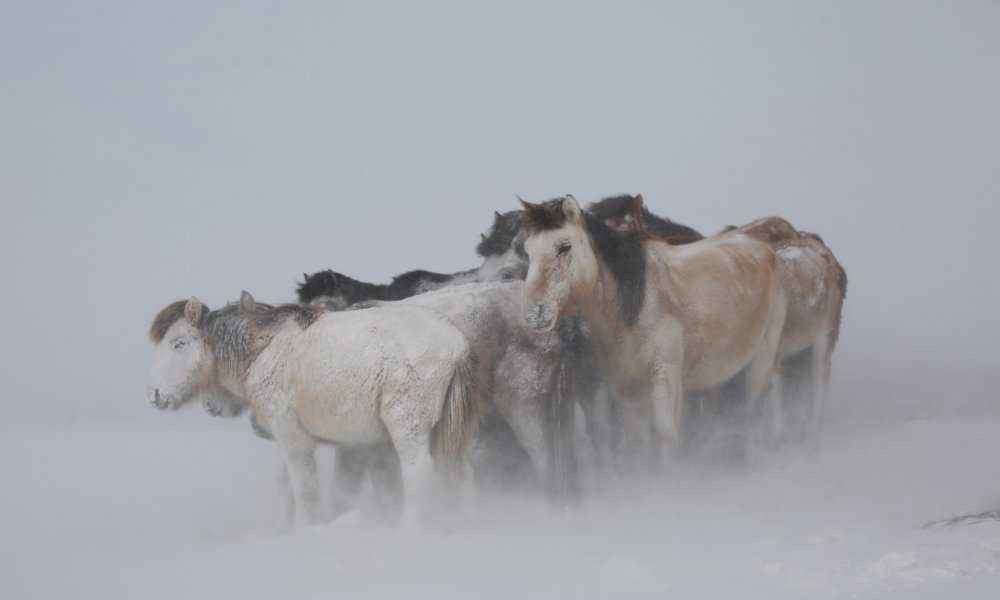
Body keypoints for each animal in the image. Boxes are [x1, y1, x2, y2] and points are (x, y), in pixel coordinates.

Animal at [146, 292, 478, 528]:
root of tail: (458, 344)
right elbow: (284, 487)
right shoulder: (282, 437)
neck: (260, 351)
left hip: (408, 426)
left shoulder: (295, 439)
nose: (154, 394)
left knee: (418, 476)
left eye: (178, 343)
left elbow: (304, 490)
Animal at [520, 195, 784, 466]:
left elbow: (665, 435)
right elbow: (636, 442)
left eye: (564, 246)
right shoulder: (626, 388)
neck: (638, 305)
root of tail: (765, 249)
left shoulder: (665, 376)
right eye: (528, 251)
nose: (534, 313)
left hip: (762, 359)